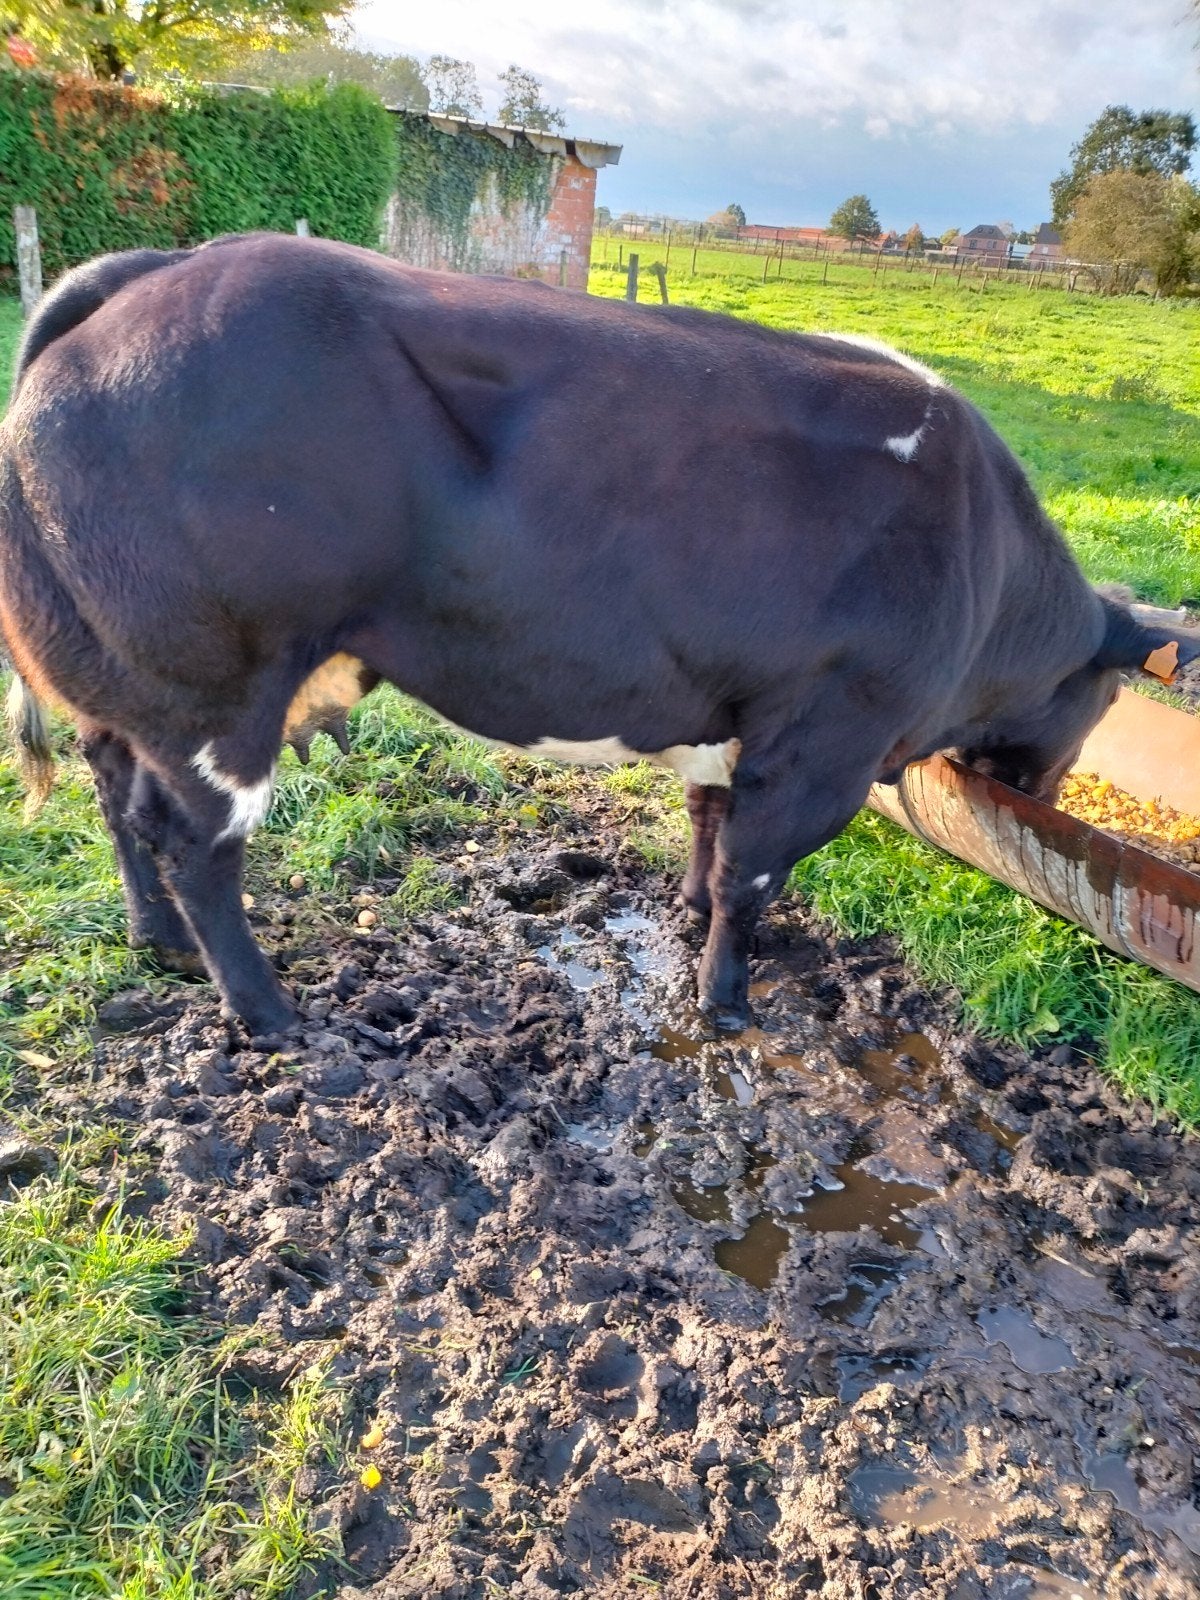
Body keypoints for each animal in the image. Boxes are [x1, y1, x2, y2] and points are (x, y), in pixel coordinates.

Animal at [1, 232, 1196, 1038]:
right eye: (1101, 704)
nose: (1043, 790)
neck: (983, 558)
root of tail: (162, 269)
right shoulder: (827, 738)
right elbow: (752, 876)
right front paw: (724, 1001)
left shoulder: (737, 716)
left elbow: (710, 831)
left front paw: (684, 913)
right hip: (215, 681)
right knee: (195, 843)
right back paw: (266, 1010)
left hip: (126, 682)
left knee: (120, 797)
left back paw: (155, 940)